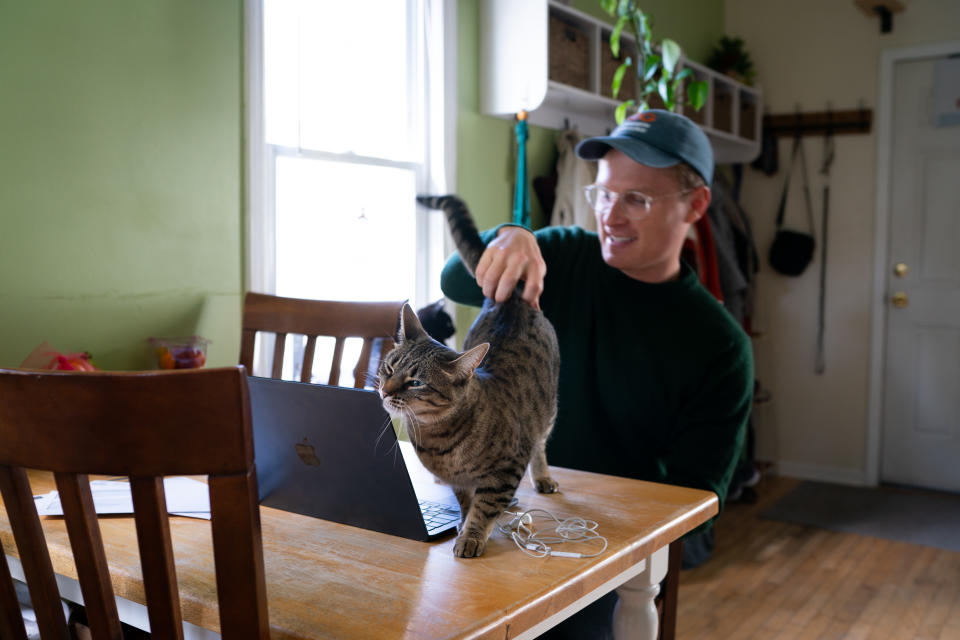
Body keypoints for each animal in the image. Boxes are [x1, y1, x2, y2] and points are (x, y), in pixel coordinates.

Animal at [376, 195, 560, 560]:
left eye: (415, 382)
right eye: (389, 369)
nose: (385, 391)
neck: (439, 441)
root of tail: (511, 299)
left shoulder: (507, 468)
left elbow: (485, 506)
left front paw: (471, 536)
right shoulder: (458, 482)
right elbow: (464, 502)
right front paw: (463, 522)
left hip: (547, 413)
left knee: (540, 445)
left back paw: (543, 477)